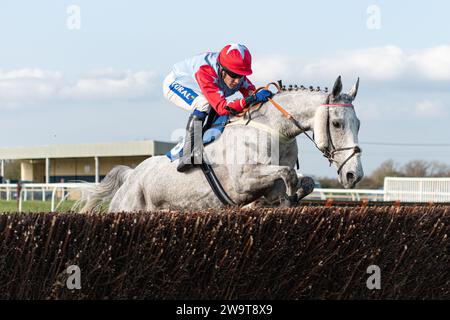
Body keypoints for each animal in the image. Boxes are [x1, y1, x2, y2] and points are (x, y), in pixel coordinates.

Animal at [79, 75, 364, 212]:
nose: (354, 175)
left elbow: (302, 181)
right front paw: (286, 200)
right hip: (127, 208)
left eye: (359, 124)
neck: (274, 132)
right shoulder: (243, 182)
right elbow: (289, 175)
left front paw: (280, 202)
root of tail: (131, 176)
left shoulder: (269, 183)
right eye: (337, 123)